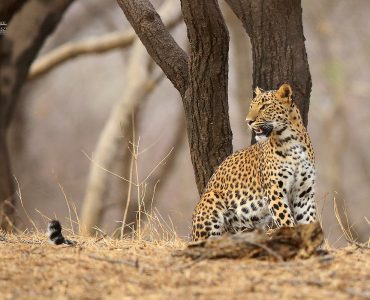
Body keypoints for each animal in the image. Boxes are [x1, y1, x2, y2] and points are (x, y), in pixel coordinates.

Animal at [192, 84, 316, 241]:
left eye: (265, 106)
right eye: (252, 106)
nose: (248, 121)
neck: (292, 141)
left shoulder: (304, 194)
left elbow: (310, 222)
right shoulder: (274, 192)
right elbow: (287, 222)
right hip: (211, 199)